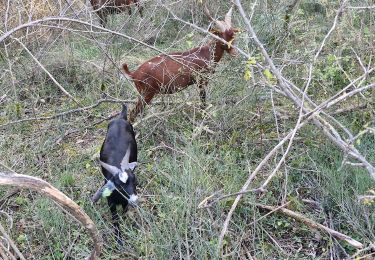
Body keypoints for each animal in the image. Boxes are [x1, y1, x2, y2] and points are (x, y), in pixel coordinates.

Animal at [92, 103, 139, 246]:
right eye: (118, 185)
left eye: (134, 180)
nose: (134, 200)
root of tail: (120, 118)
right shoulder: (111, 203)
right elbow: (115, 219)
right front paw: (119, 240)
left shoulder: (125, 201)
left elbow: (124, 212)